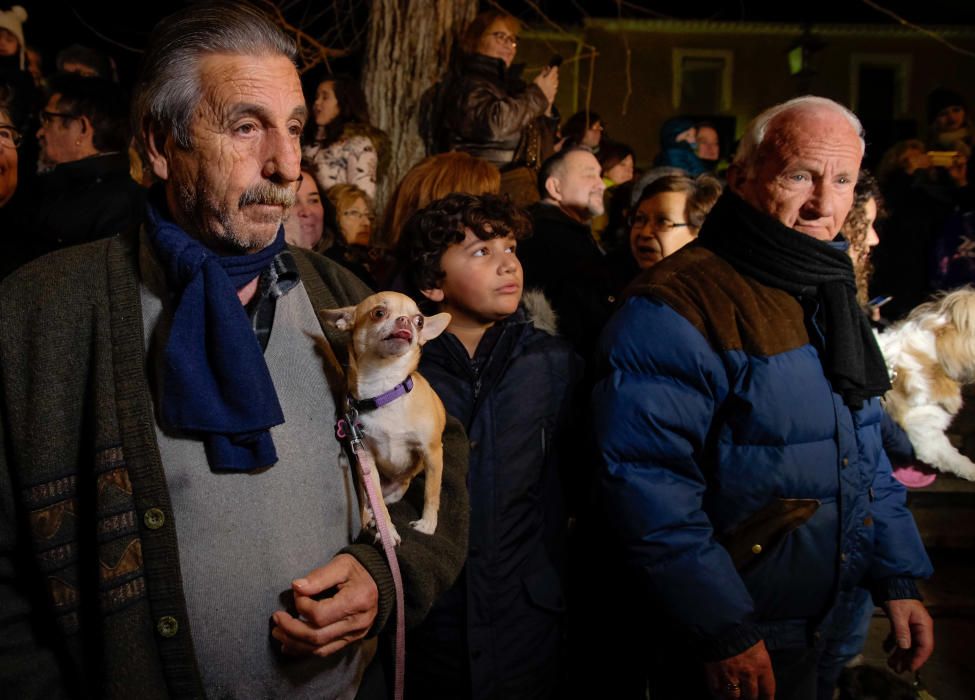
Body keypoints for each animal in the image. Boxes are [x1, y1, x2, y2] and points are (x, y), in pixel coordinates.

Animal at [324, 290, 454, 540]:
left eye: (419, 321)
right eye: (379, 313)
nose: (405, 320)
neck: (384, 390)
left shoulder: (432, 452)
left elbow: (432, 491)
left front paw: (427, 524)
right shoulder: (366, 459)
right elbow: (378, 503)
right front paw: (388, 531)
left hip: (399, 489)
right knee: (371, 501)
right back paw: (370, 519)